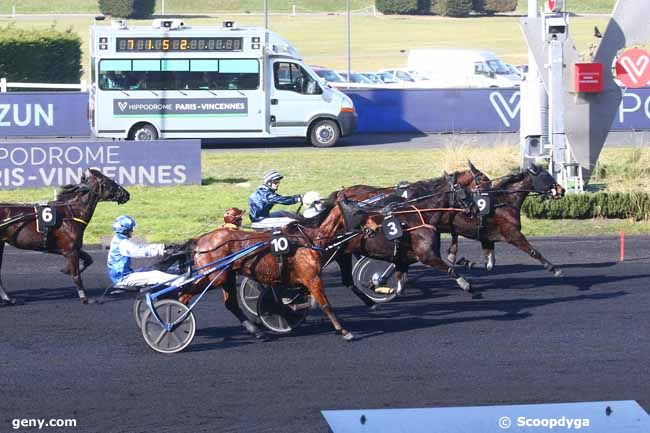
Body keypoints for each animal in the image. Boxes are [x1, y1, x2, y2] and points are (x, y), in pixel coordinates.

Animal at [0, 169, 130, 304]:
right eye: (110, 181)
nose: (126, 194)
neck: (70, 214)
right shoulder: (71, 250)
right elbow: (76, 274)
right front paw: (84, 297)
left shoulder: (70, 249)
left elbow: (88, 259)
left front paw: (66, 270)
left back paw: (8, 298)